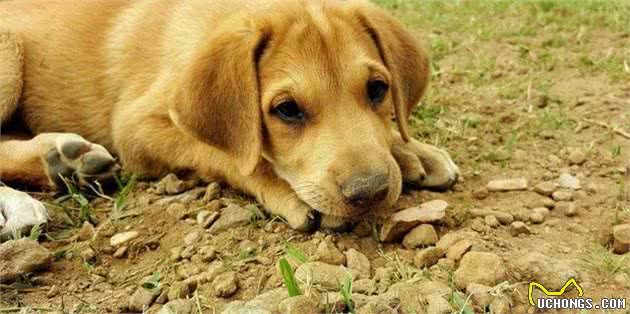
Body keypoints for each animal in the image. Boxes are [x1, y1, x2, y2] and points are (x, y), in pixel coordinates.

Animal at [0, 0, 460, 236]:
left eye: (378, 89)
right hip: (10, 55)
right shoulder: (137, 126)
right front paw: (286, 190)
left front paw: (411, 151)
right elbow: (236, 155)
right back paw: (27, 194)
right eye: (287, 110)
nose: (371, 191)